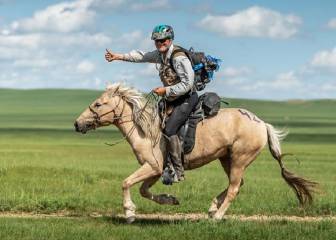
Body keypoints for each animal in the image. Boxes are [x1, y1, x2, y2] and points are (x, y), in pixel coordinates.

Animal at [74, 83, 318, 223]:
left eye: (98, 104)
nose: (77, 124)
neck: (146, 130)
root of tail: (261, 124)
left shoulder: (152, 167)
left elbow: (125, 183)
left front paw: (130, 213)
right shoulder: (155, 171)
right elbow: (143, 190)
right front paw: (170, 200)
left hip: (239, 159)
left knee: (234, 188)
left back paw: (217, 216)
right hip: (227, 158)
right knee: (237, 185)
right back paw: (212, 208)